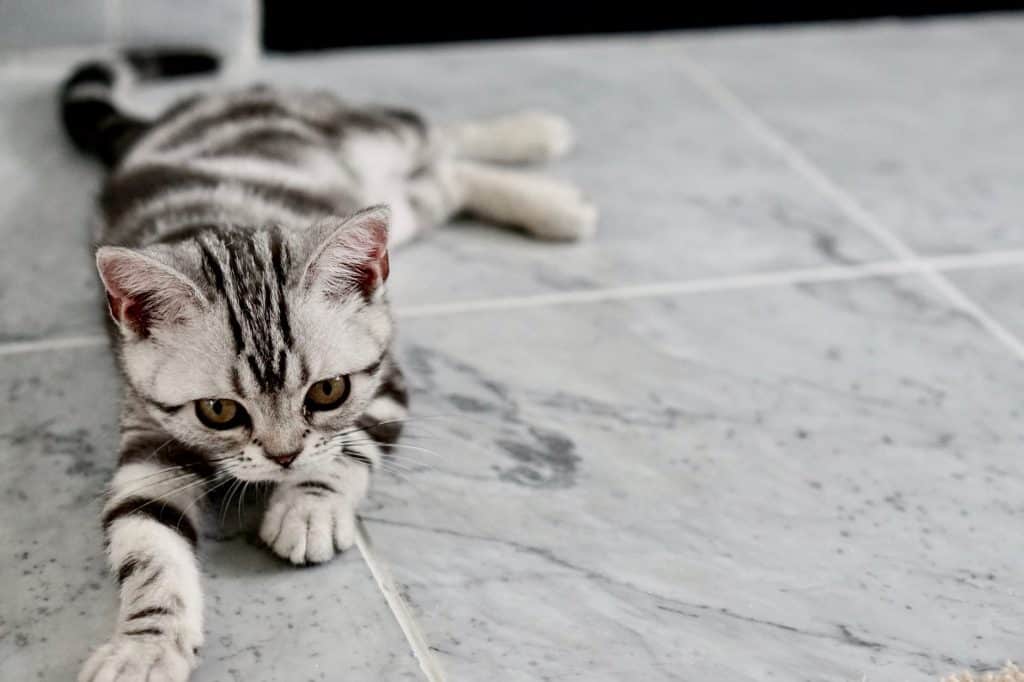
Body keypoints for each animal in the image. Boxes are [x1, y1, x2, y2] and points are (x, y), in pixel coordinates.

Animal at [61, 53, 593, 679]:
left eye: (328, 392)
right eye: (218, 411)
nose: (284, 457)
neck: (221, 226)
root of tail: (161, 123)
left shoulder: (385, 378)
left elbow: (350, 445)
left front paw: (308, 507)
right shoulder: (147, 430)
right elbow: (146, 541)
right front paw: (146, 644)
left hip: (371, 137)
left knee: (437, 136)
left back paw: (539, 149)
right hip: (398, 205)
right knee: (443, 181)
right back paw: (552, 199)